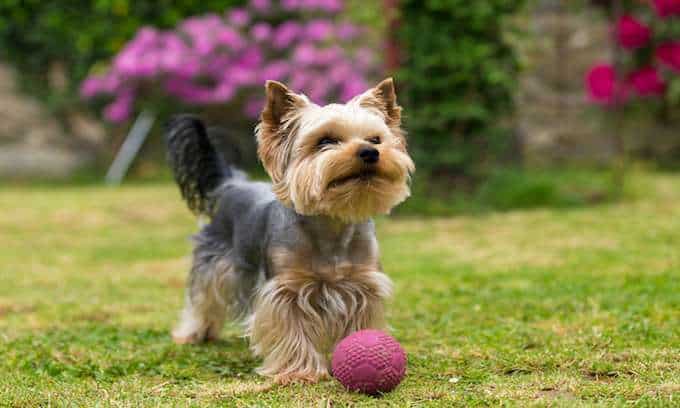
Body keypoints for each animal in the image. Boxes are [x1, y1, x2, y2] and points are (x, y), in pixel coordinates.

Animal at [165, 79, 414, 382]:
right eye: (325, 141)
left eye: (376, 139)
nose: (370, 152)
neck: (332, 222)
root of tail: (232, 184)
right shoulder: (285, 290)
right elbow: (291, 328)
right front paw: (298, 371)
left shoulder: (362, 285)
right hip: (214, 263)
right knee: (203, 297)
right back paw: (194, 333)